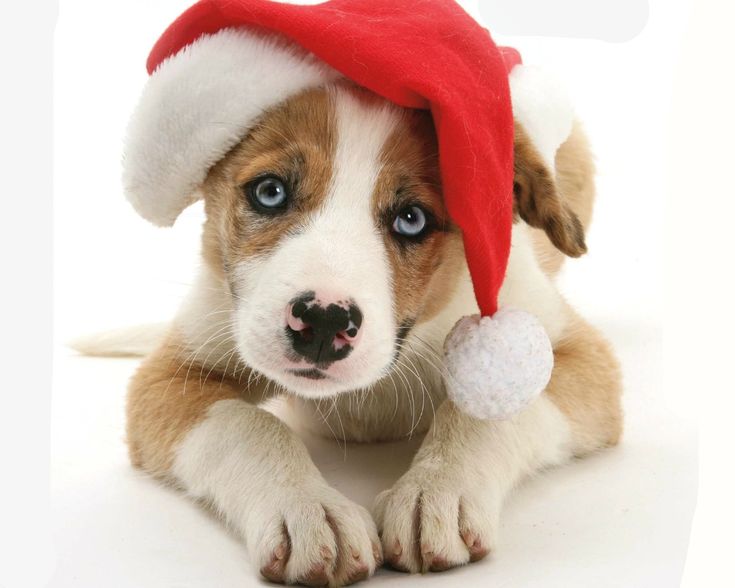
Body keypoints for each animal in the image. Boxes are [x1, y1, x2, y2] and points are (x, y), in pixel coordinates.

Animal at [125, 81, 620, 584]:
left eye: (412, 219)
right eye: (270, 192)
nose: (323, 322)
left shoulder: (575, 354)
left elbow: (484, 412)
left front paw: (437, 490)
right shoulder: (172, 372)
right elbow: (247, 425)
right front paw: (307, 507)